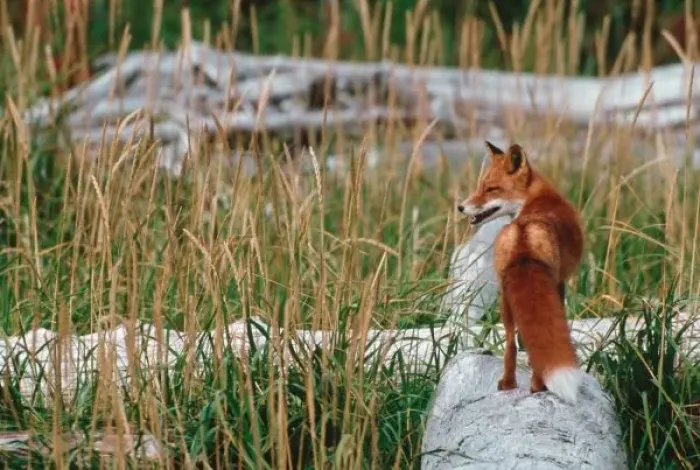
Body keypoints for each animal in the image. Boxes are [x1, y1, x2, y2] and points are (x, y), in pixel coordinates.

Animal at [457, 141, 585, 404]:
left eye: (491, 189)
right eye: (481, 187)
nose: (460, 207)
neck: (536, 198)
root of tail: (523, 232)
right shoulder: (560, 283)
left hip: (505, 298)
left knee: (510, 343)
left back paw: (507, 385)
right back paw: (538, 387)